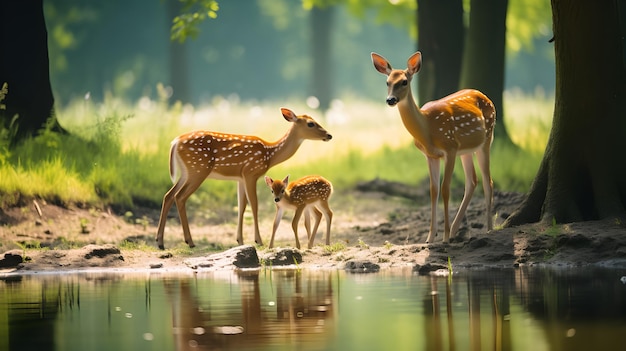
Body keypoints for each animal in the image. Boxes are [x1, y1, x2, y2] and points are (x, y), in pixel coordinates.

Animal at [156, 108, 332, 252]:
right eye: (311, 124)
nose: (329, 135)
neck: (269, 154)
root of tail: (175, 142)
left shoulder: (240, 178)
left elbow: (241, 206)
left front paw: (240, 240)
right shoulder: (251, 172)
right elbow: (254, 204)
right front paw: (258, 240)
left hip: (187, 172)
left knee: (168, 195)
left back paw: (160, 242)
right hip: (198, 170)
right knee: (180, 197)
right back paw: (190, 242)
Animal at [368, 52, 494, 243]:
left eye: (404, 82)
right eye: (387, 82)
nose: (390, 100)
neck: (427, 127)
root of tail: (485, 95)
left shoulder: (450, 148)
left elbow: (445, 189)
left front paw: (445, 237)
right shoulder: (431, 155)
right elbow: (433, 190)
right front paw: (430, 237)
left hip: (487, 138)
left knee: (488, 182)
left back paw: (488, 229)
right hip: (466, 149)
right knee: (472, 181)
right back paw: (457, 230)